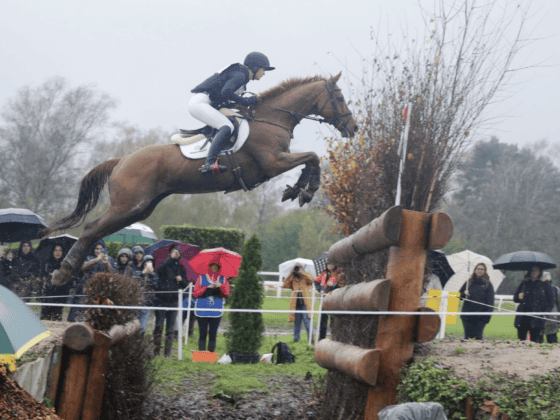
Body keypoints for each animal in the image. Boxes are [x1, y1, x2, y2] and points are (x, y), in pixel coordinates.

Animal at [46, 72, 356, 286]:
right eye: (340, 98)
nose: (352, 127)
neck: (270, 119)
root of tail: (121, 160)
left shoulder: (277, 162)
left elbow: (310, 159)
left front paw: (297, 189)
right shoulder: (273, 162)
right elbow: (312, 157)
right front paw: (306, 190)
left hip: (139, 208)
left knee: (97, 231)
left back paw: (72, 269)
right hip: (128, 205)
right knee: (91, 228)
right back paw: (63, 273)